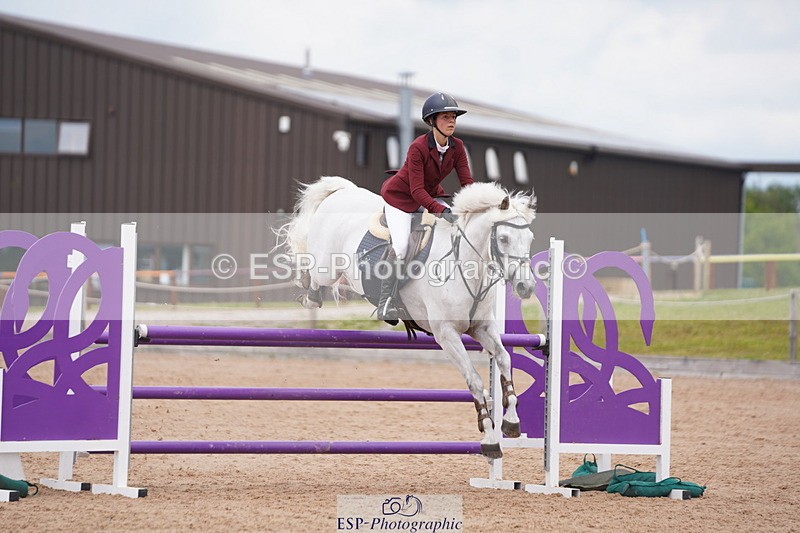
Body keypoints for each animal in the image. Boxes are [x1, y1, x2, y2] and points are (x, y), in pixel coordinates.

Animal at [276, 176, 537, 458]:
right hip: (327, 267)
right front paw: (489, 438)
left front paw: (511, 421)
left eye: (530, 238)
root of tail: (343, 190)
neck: (464, 266)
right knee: (313, 273)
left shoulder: (482, 327)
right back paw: (309, 293)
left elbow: (505, 359)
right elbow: (475, 381)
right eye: (504, 238)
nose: (526, 287)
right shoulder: (447, 335)